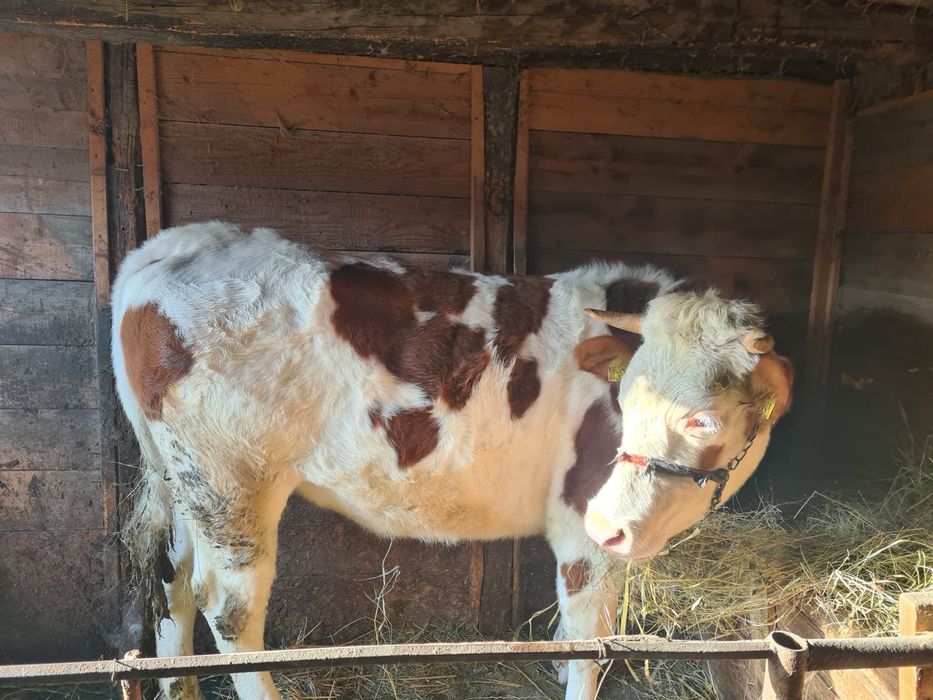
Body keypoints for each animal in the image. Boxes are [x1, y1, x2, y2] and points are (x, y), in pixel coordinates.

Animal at [112, 221, 793, 700]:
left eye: (703, 418)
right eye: (625, 396)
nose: (612, 522)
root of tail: (183, 243)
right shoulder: (583, 520)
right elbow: (588, 630)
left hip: (185, 480)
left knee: (171, 578)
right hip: (234, 482)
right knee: (227, 607)